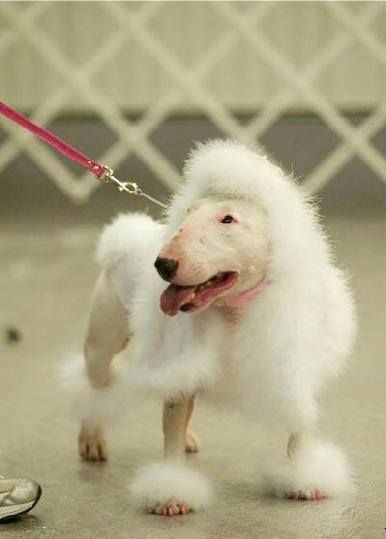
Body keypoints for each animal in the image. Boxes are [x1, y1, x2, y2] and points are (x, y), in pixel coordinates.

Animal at [74, 141, 358, 516]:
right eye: (188, 212)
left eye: (228, 219)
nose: (163, 264)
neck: (234, 309)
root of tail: (125, 236)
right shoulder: (179, 360)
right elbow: (171, 430)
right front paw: (171, 494)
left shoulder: (293, 364)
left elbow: (299, 424)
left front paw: (303, 477)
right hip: (102, 345)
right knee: (94, 389)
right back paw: (91, 439)